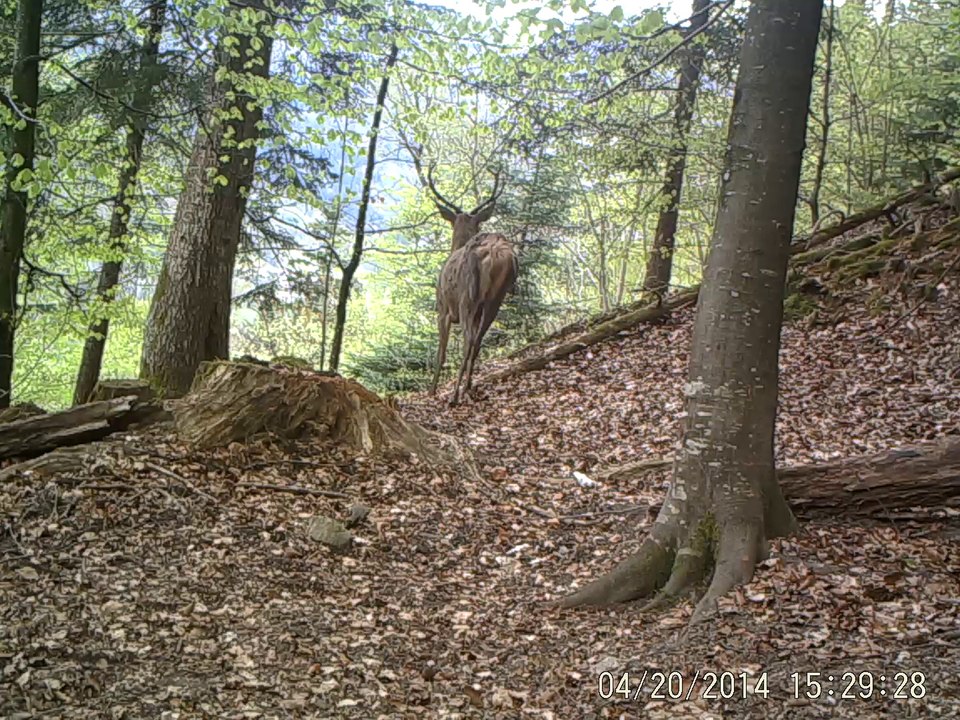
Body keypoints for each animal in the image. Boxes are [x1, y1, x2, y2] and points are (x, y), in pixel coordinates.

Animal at [406, 143, 517, 405]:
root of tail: (496, 253)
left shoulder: (443, 308)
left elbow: (441, 351)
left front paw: (432, 390)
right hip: (495, 299)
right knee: (478, 341)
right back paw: (468, 388)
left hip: (469, 296)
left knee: (468, 339)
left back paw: (455, 395)